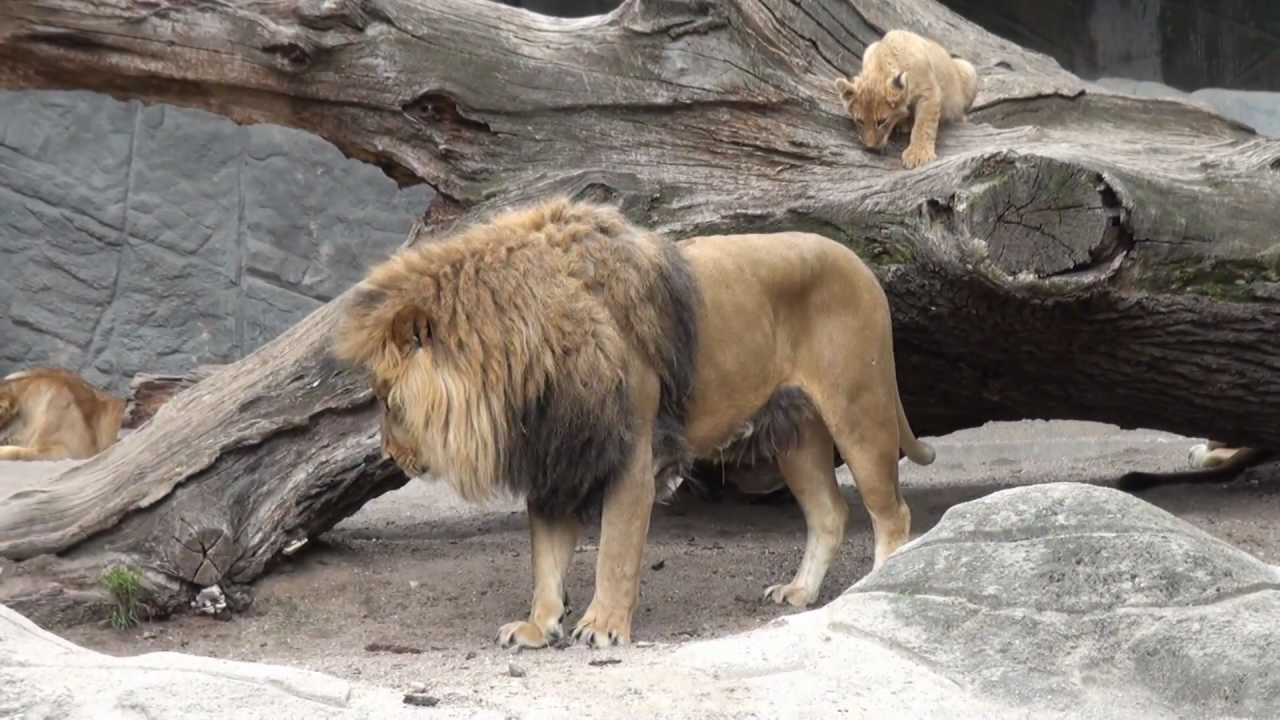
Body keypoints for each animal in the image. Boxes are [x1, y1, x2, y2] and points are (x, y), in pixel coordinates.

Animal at [335, 197, 935, 649]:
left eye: (387, 400)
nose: (391, 455)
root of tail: (859, 262)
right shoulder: (559, 457)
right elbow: (545, 556)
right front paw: (538, 626)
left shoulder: (630, 454)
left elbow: (615, 551)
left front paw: (603, 627)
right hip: (795, 434)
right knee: (830, 513)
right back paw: (800, 593)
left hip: (860, 409)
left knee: (892, 513)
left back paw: (879, 585)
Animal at [834, 29, 979, 169]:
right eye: (859, 121)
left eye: (882, 121)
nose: (870, 148)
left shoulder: (929, 92)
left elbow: (924, 125)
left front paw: (918, 154)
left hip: (968, 69)